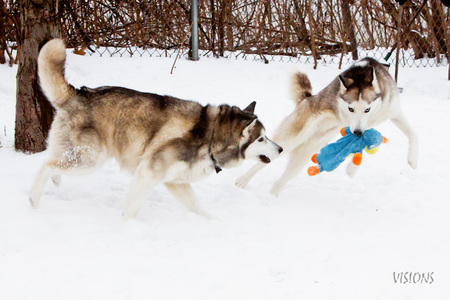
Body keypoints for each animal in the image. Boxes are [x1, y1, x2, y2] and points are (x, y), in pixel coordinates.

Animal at [30, 39, 282, 218]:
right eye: (261, 139)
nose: (280, 149)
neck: (210, 137)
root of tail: (78, 93)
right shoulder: (148, 173)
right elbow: (131, 209)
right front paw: (125, 227)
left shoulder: (175, 181)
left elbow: (197, 207)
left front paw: (213, 222)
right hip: (91, 158)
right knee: (45, 166)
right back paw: (33, 201)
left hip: (78, 153)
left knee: (52, 162)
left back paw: (56, 181)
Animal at [237, 58, 420, 195]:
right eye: (351, 109)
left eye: (367, 109)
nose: (357, 132)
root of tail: (306, 99)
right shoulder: (350, 122)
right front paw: (352, 168)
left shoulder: (393, 112)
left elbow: (413, 135)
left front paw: (413, 160)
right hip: (290, 139)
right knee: (262, 161)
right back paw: (241, 181)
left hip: (304, 154)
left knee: (279, 181)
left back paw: (270, 197)